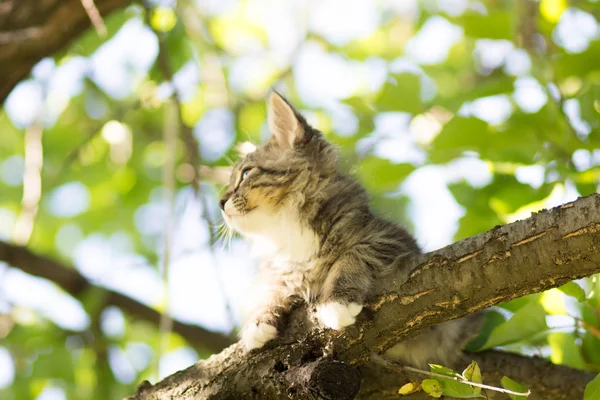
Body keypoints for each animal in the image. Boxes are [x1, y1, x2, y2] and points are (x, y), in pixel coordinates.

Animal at [220, 92, 478, 368]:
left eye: (246, 174)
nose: (220, 202)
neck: (289, 233)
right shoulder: (278, 273)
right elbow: (268, 291)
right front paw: (257, 323)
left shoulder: (389, 237)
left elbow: (351, 256)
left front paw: (337, 301)